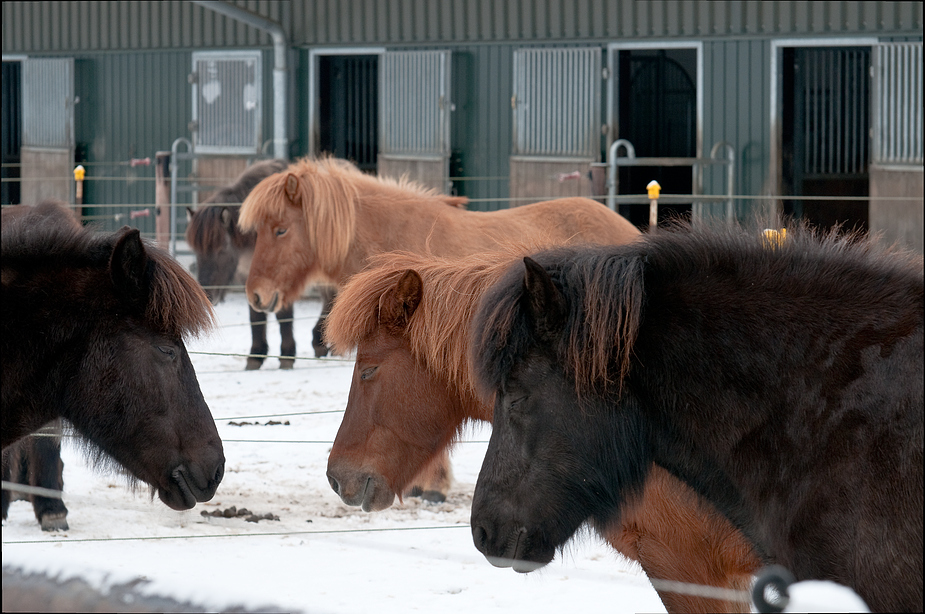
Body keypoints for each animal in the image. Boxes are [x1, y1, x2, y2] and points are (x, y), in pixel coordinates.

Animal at [184, 159, 336, 370]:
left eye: (222, 249)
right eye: (196, 250)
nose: (207, 295)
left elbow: (283, 315)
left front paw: (286, 356)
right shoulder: (249, 278)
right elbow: (255, 317)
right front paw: (255, 356)